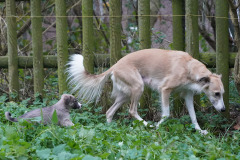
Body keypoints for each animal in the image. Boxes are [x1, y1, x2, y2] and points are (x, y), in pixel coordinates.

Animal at [67, 48, 225, 134]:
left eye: (222, 93)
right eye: (216, 93)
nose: (223, 110)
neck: (188, 67)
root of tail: (115, 65)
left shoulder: (188, 95)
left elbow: (193, 116)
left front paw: (200, 131)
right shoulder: (165, 90)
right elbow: (166, 114)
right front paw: (158, 127)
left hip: (126, 95)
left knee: (109, 112)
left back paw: (111, 129)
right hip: (138, 87)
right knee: (132, 111)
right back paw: (147, 125)